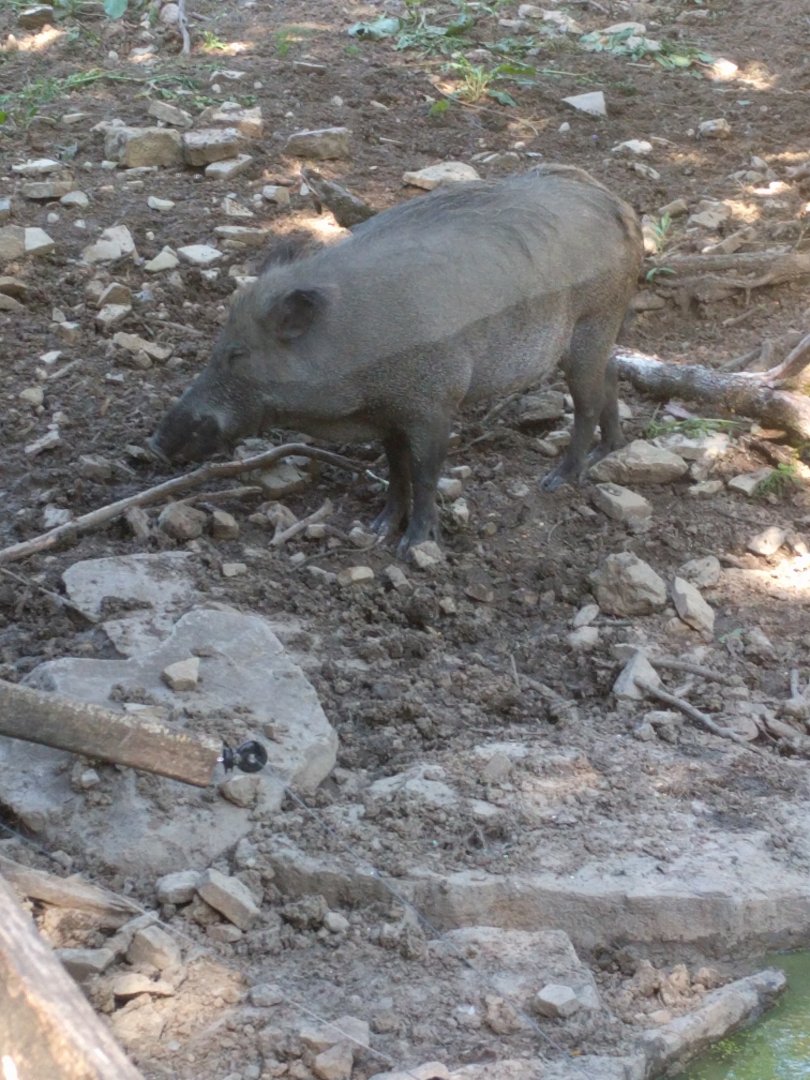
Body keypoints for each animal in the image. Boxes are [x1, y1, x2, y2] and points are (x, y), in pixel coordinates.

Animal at [148, 165, 642, 555]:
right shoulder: (388, 415)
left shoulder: (433, 404)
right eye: (219, 345)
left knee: (586, 403)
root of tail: (619, 206)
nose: (154, 442)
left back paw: (558, 480)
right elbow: (395, 469)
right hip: (603, 331)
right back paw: (609, 450)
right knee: (611, 376)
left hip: (591, 323)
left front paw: (413, 546)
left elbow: (424, 475)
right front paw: (377, 528)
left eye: (238, 355)